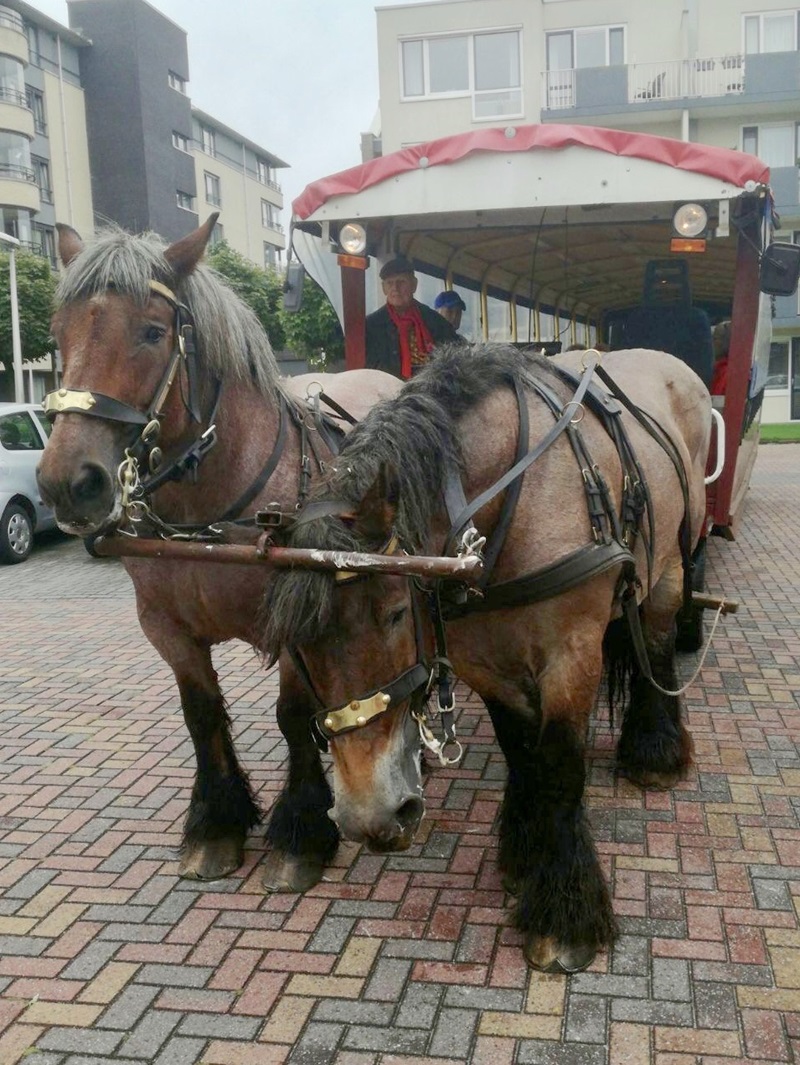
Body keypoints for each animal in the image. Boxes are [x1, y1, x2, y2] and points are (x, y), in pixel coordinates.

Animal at [35, 216, 402, 881]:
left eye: (152, 332)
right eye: (57, 334)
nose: (68, 484)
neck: (207, 516)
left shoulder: (294, 618)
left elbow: (291, 715)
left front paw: (300, 831)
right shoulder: (164, 625)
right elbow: (201, 712)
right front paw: (216, 823)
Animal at [264, 342, 711, 975]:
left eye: (396, 612)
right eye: (297, 645)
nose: (368, 818)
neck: (507, 502)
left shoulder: (571, 655)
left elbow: (559, 766)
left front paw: (564, 912)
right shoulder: (489, 661)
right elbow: (521, 750)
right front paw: (525, 853)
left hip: (671, 563)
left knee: (657, 644)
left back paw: (655, 751)